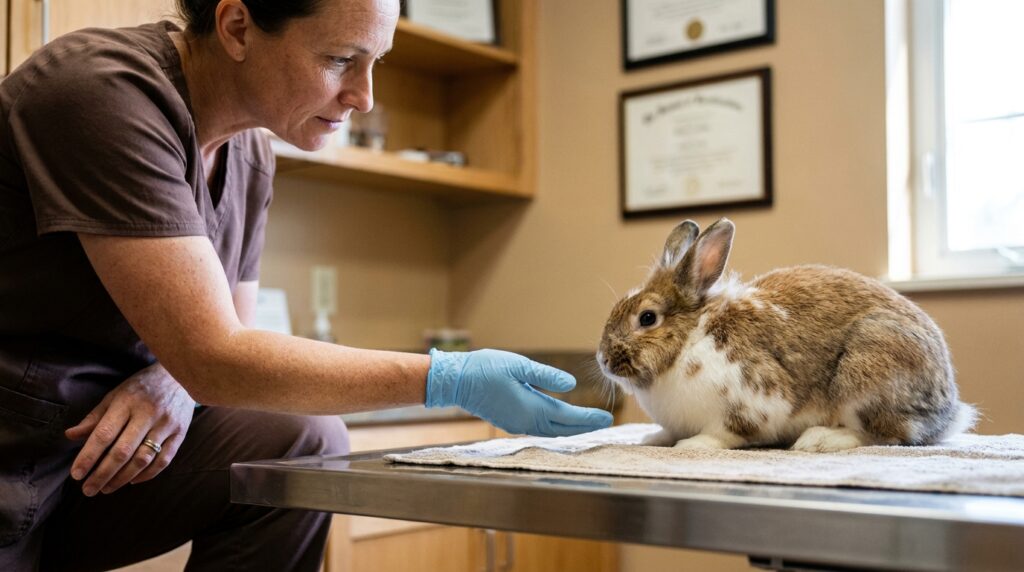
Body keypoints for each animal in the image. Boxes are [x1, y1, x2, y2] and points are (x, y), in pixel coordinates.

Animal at [596, 218, 977, 453]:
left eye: (647, 318)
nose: (603, 359)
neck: (690, 339)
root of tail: (949, 411)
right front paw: (652, 438)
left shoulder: (750, 402)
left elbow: (725, 433)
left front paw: (692, 446)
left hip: (865, 374)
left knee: (886, 433)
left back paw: (820, 440)